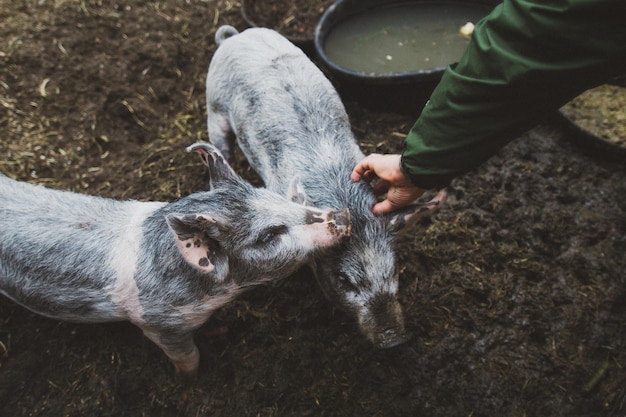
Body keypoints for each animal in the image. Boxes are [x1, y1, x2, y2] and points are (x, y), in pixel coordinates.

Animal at [0, 143, 352, 374]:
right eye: (269, 235)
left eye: (275, 198)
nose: (344, 215)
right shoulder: (159, 323)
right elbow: (186, 356)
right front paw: (194, 376)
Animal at [205, 25, 444, 348]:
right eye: (344, 279)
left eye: (394, 270)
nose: (392, 339)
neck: (343, 198)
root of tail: (235, 36)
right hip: (214, 107)